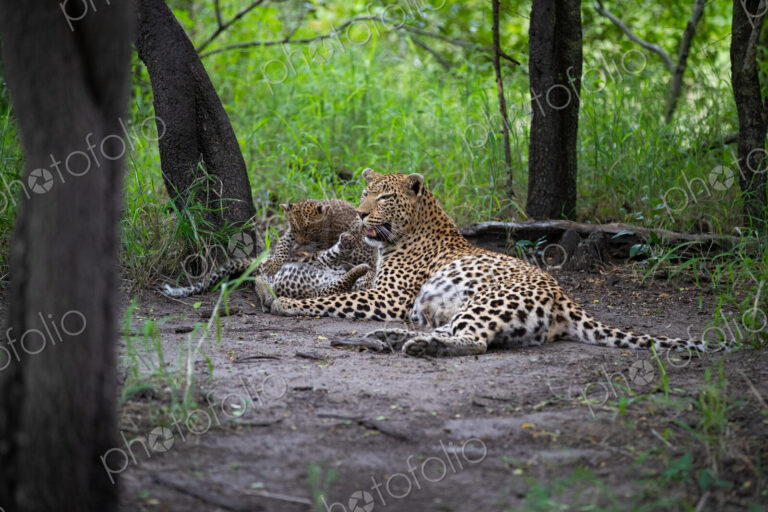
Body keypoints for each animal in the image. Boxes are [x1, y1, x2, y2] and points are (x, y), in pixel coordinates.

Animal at [163, 199, 377, 298]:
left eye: (308, 230)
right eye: (297, 229)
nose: (300, 243)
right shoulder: (291, 234)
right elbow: (282, 244)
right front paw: (275, 262)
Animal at [254, 168, 714, 357]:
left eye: (384, 197)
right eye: (365, 194)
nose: (362, 215)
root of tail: (565, 299)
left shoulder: (387, 297)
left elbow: (331, 298)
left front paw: (284, 301)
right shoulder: (380, 291)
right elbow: (339, 284)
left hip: (490, 299)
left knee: (474, 340)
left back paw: (417, 345)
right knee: (459, 331)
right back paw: (391, 337)